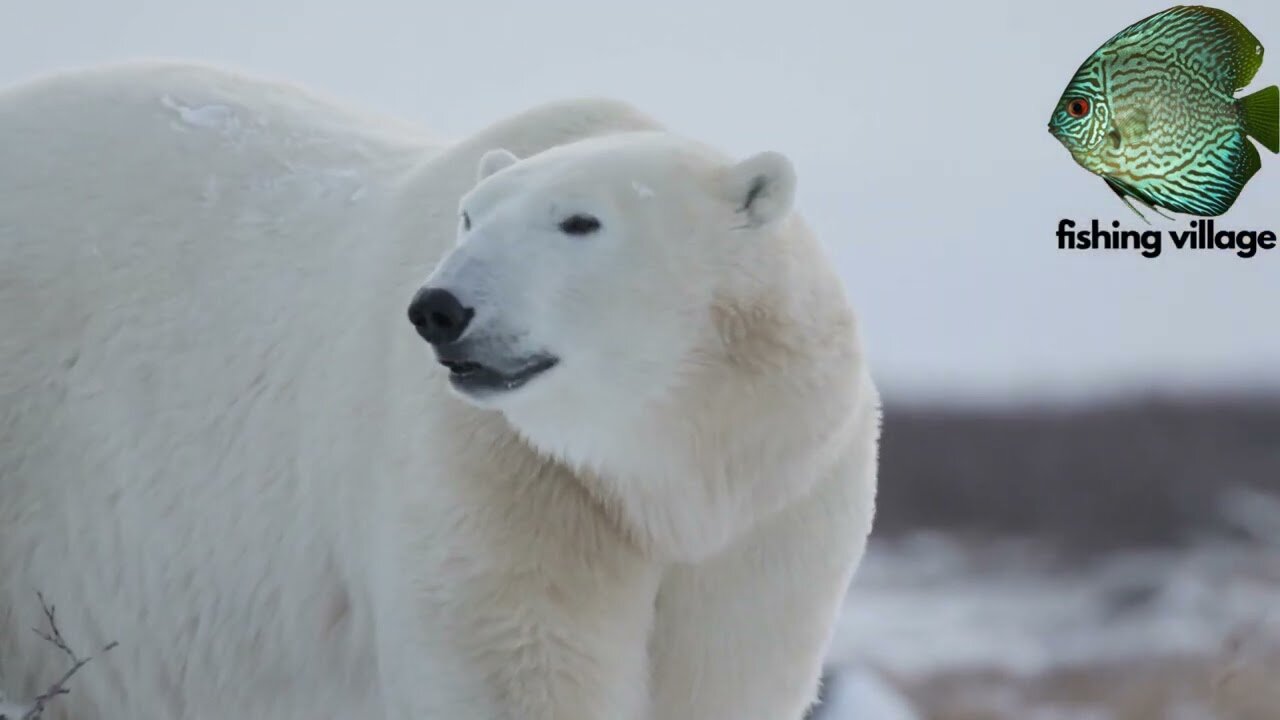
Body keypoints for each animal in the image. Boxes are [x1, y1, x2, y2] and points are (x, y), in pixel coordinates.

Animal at [0, 63, 880, 717]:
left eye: (580, 221)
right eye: (468, 216)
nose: (439, 308)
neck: (666, 471)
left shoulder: (772, 508)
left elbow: (728, 674)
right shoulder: (499, 476)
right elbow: (515, 672)